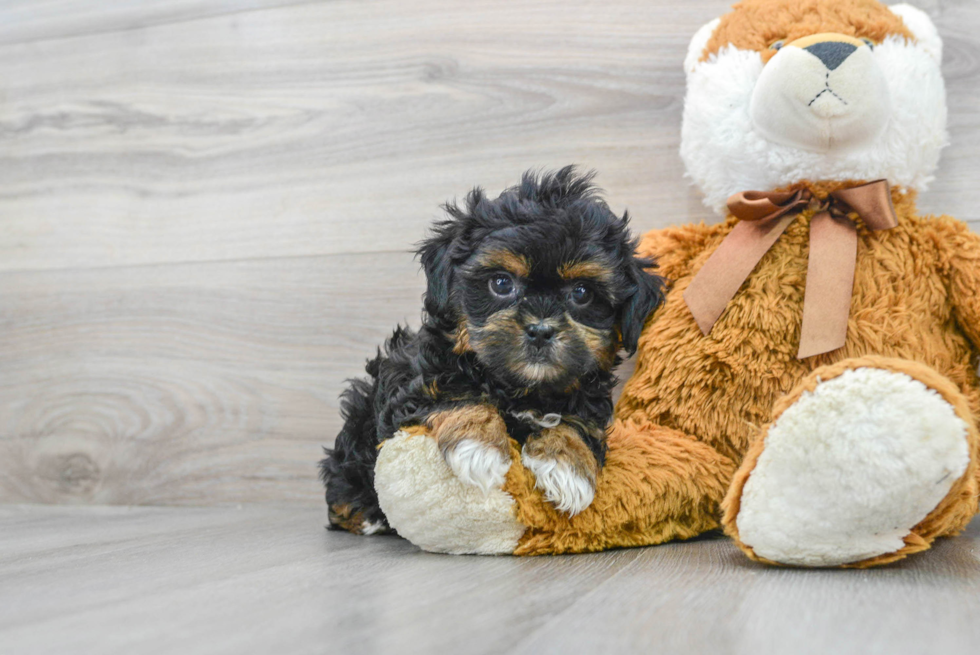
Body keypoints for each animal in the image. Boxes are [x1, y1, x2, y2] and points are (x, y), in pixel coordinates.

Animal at [322, 167, 668, 536]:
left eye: (582, 292)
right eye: (501, 283)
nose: (540, 330)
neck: (519, 387)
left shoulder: (586, 396)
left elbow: (578, 422)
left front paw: (566, 465)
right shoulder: (415, 385)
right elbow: (458, 393)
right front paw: (479, 448)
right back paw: (365, 513)